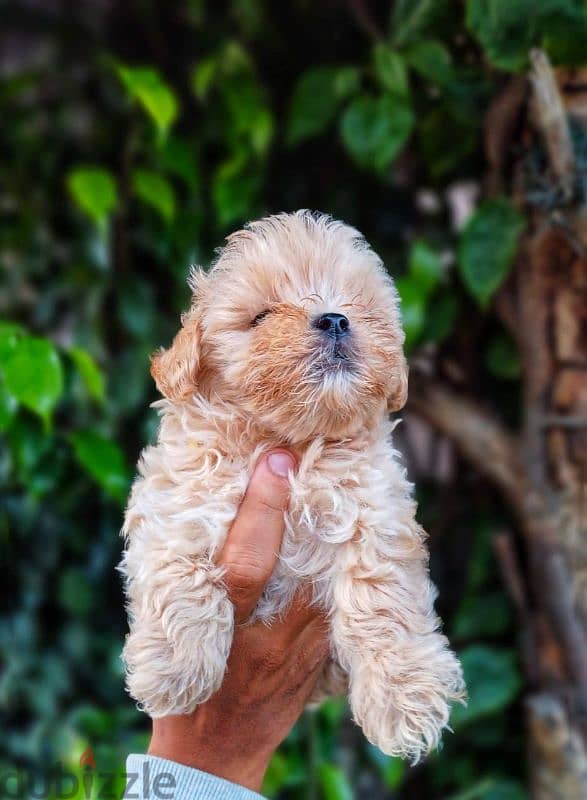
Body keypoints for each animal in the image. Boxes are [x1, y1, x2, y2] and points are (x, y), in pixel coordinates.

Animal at [120, 209, 464, 760]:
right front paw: (174, 668)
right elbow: (181, 568)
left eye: (354, 302)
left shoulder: (376, 514)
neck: (289, 442)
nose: (335, 318)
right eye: (261, 316)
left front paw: (404, 699)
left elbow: (382, 599)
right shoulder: (179, 501)